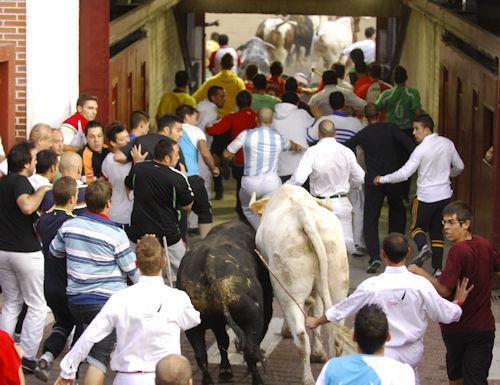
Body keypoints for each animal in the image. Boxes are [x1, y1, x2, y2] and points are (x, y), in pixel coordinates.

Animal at [178, 219, 274, 384]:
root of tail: (207, 263)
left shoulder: (216, 323)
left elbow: (222, 341)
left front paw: (225, 370)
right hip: (252, 319)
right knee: (250, 353)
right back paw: (258, 381)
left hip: (193, 328)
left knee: (202, 355)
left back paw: (211, 379)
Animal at [250, 184, 352, 382]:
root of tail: (302, 215)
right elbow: (316, 310)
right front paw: (319, 353)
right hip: (338, 283)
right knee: (336, 333)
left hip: (287, 290)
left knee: (301, 337)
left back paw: (308, 379)